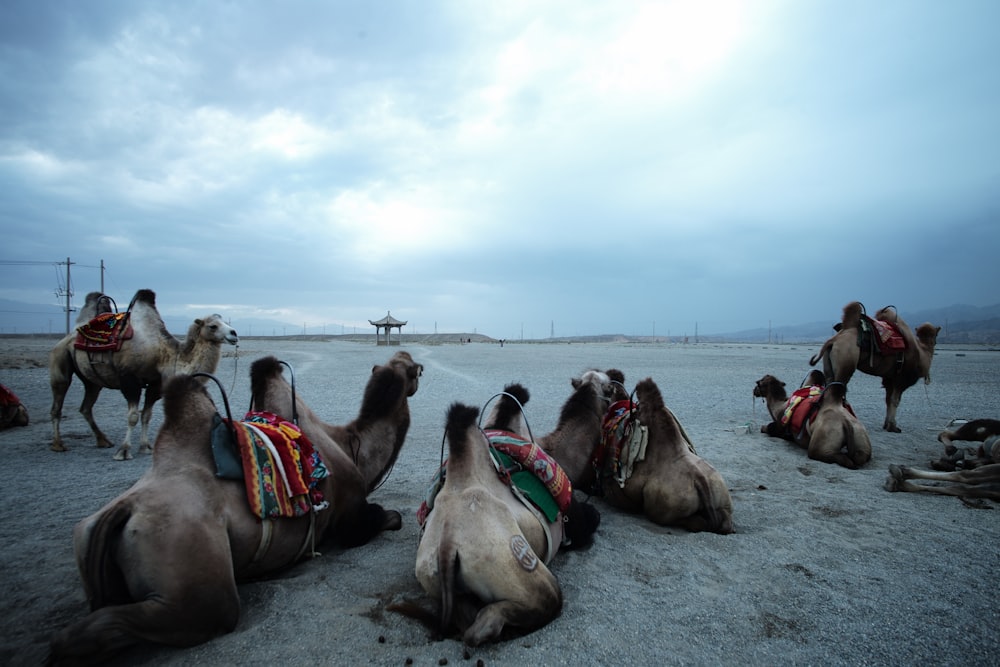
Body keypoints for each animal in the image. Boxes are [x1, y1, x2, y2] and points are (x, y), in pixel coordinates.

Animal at [49, 290, 240, 462]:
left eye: (225, 321)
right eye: (212, 326)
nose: (234, 334)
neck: (163, 354)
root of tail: (68, 337)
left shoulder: (156, 385)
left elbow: (146, 415)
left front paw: (146, 447)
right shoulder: (129, 380)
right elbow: (133, 416)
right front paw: (124, 451)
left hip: (92, 380)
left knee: (86, 407)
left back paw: (103, 440)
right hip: (60, 359)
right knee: (58, 402)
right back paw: (58, 444)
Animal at [808, 302, 940, 434]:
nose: (935, 342)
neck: (922, 352)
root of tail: (833, 340)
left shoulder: (889, 378)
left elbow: (888, 399)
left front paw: (886, 425)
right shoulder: (901, 378)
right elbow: (895, 401)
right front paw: (893, 427)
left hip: (829, 366)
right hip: (845, 364)